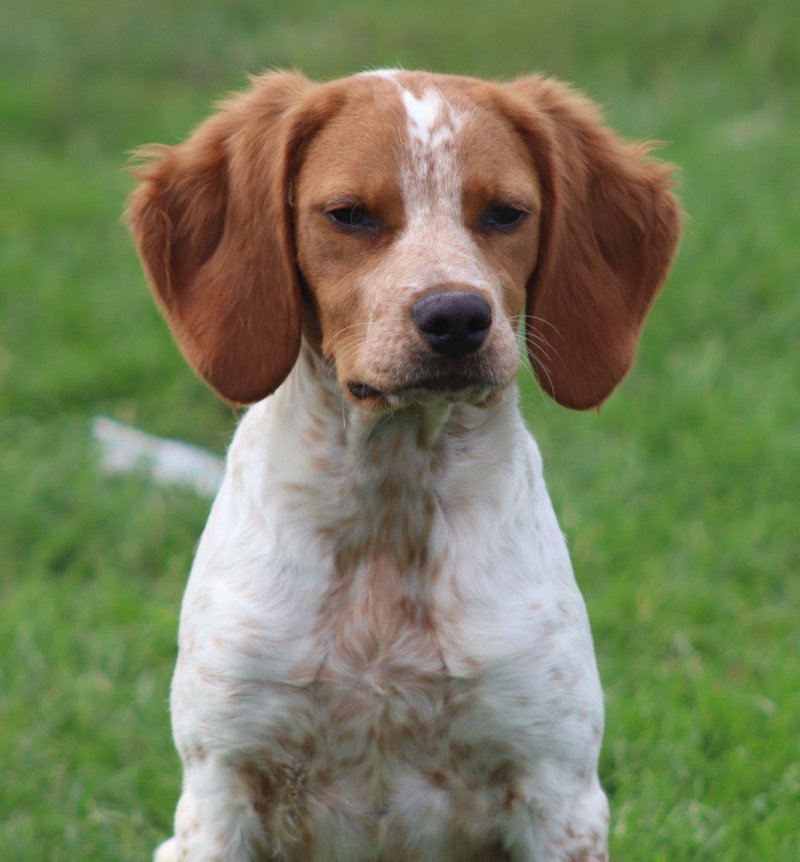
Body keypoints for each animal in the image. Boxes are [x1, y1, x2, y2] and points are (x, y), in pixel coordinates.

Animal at [128, 69, 680, 862]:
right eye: (350, 215)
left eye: (506, 213)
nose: (457, 318)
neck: (390, 506)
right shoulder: (220, 788)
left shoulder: (559, 791)